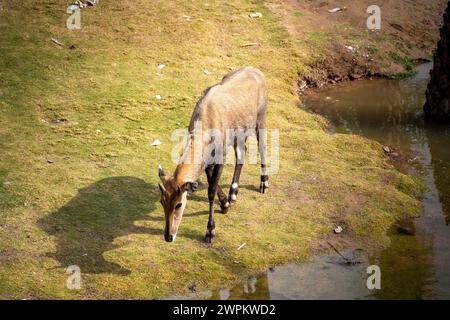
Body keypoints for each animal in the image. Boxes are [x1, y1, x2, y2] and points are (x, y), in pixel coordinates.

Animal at [158, 67, 268, 242]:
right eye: (162, 201)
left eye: (179, 204)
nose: (169, 236)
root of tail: (257, 71)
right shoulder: (208, 161)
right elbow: (212, 184)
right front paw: (225, 203)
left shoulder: (220, 156)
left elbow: (211, 191)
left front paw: (210, 231)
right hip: (239, 133)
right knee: (241, 153)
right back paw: (233, 193)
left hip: (260, 118)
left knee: (262, 146)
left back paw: (264, 183)